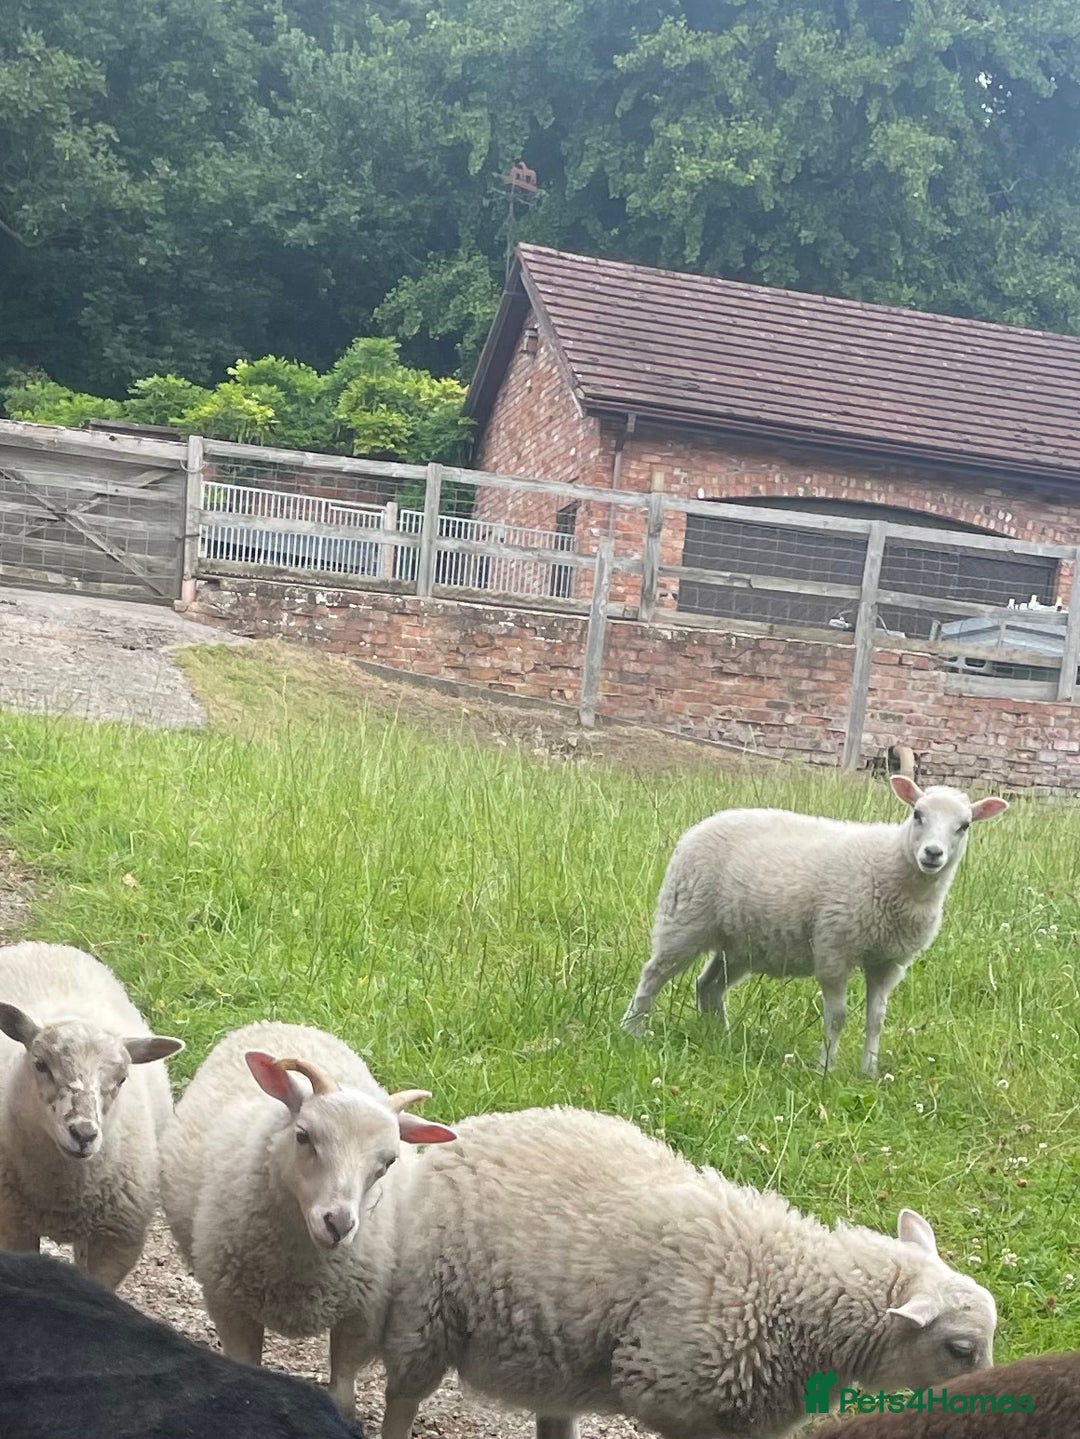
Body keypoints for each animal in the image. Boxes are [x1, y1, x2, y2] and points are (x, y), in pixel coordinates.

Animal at [0, 941, 184, 1287]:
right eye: (40, 1064)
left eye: (122, 1078)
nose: (83, 1134)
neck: (62, 1196)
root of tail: (44, 946)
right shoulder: (13, 1224)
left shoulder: (115, 1241)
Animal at [160, 1020, 457, 1419]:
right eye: (303, 1136)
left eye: (389, 1161)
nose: (339, 1225)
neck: (301, 1269)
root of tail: (283, 1022)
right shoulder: (229, 1306)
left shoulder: (360, 1316)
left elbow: (343, 1397)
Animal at [379, 1105, 997, 1439]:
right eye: (961, 1349)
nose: (989, 1399)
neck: (786, 1286)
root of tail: (469, 1130)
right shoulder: (673, 1398)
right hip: (426, 1317)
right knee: (403, 1398)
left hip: (553, 1358)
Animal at [620, 776, 1009, 1075]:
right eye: (917, 814)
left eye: (964, 826)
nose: (932, 854)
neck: (891, 868)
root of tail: (708, 821)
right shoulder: (833, 949)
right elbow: (837, 1017)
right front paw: (825, 1068)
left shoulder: (889, 962)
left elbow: (877, 1018)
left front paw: (869, 1071)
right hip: (685, 918)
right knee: (653, 975)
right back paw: (632, 1029)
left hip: (741, 943)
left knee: (708, 985)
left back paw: (718, 1036)